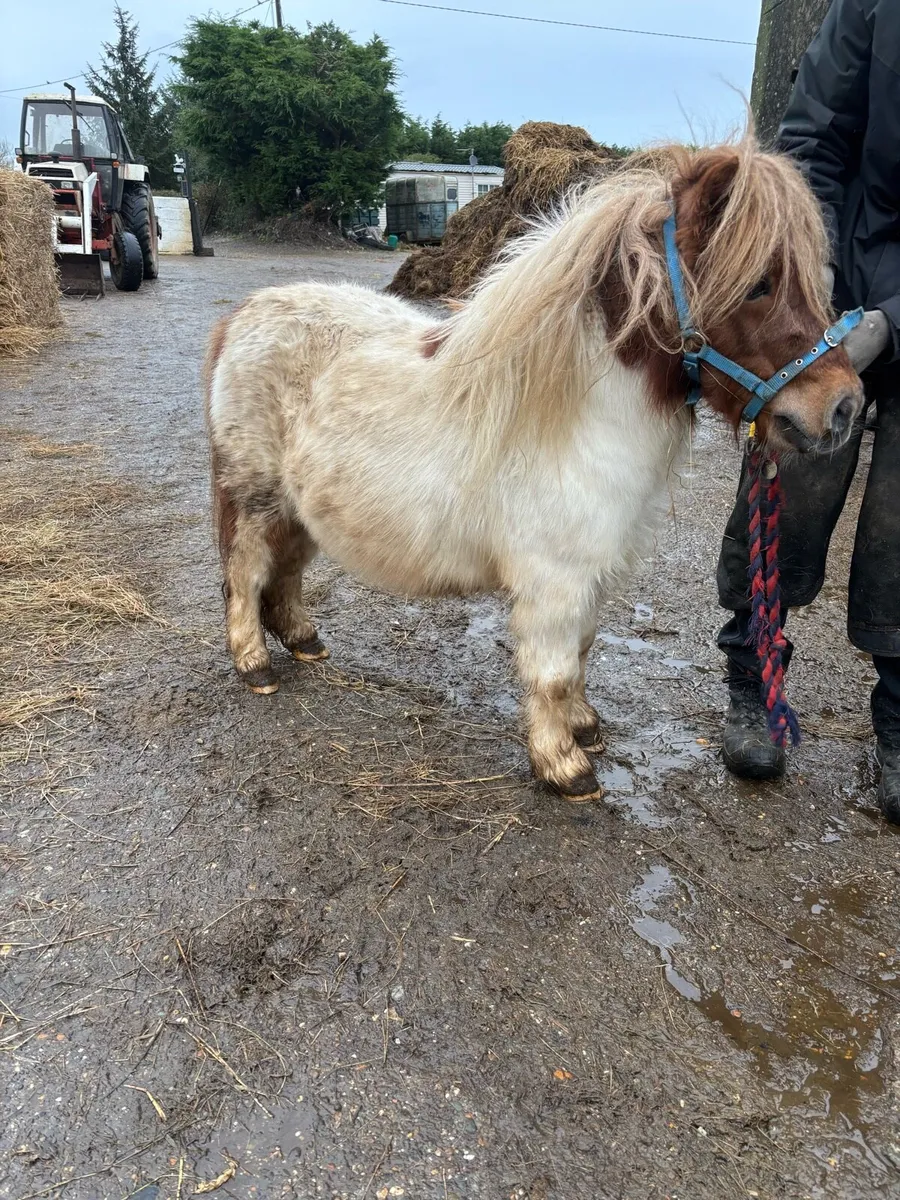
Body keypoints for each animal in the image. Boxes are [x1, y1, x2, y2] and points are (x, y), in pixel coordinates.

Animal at [204, 135, 863, 801]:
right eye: (758, 285)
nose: (843, 406)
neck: (579, 416)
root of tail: (244, 315)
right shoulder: (555, 582)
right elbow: (551, 673)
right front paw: (564, 765)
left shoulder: (593, 577)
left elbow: (582, 654)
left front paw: (584, 727)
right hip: (256, 499)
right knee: (247, 570)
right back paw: (255, 662)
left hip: (299, 508)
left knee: (286, 571)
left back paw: (303, 641)